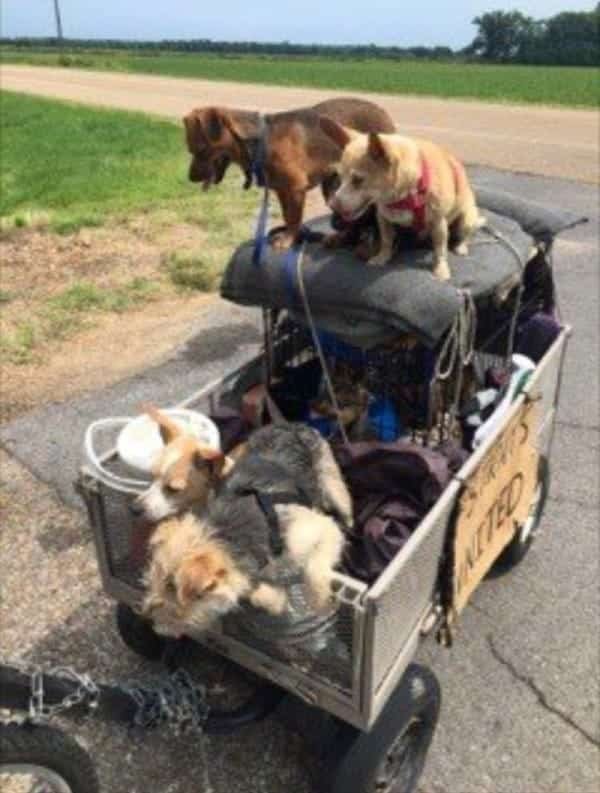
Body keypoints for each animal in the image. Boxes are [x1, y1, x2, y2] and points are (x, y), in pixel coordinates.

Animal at [185, 98, 396, 248]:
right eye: (191, 150)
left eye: (201, 150)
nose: (190, 178)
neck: (260, 141)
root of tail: (384, 112)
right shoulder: (282, 190)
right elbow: (287, 216)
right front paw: (290, 234)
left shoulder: (295, 189)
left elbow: (294, 218)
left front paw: (288, 239)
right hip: (332, 186)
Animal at [318, 117, 482, 278]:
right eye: (340, 178)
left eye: (358, 180)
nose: (332, 205)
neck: (404, 195)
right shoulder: (383, 219)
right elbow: (386, 241)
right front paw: (381, 258)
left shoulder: (438, 223)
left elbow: (439, 249)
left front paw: (440, 269)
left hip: (466, 220)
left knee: (464, 235)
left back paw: (461, 247)